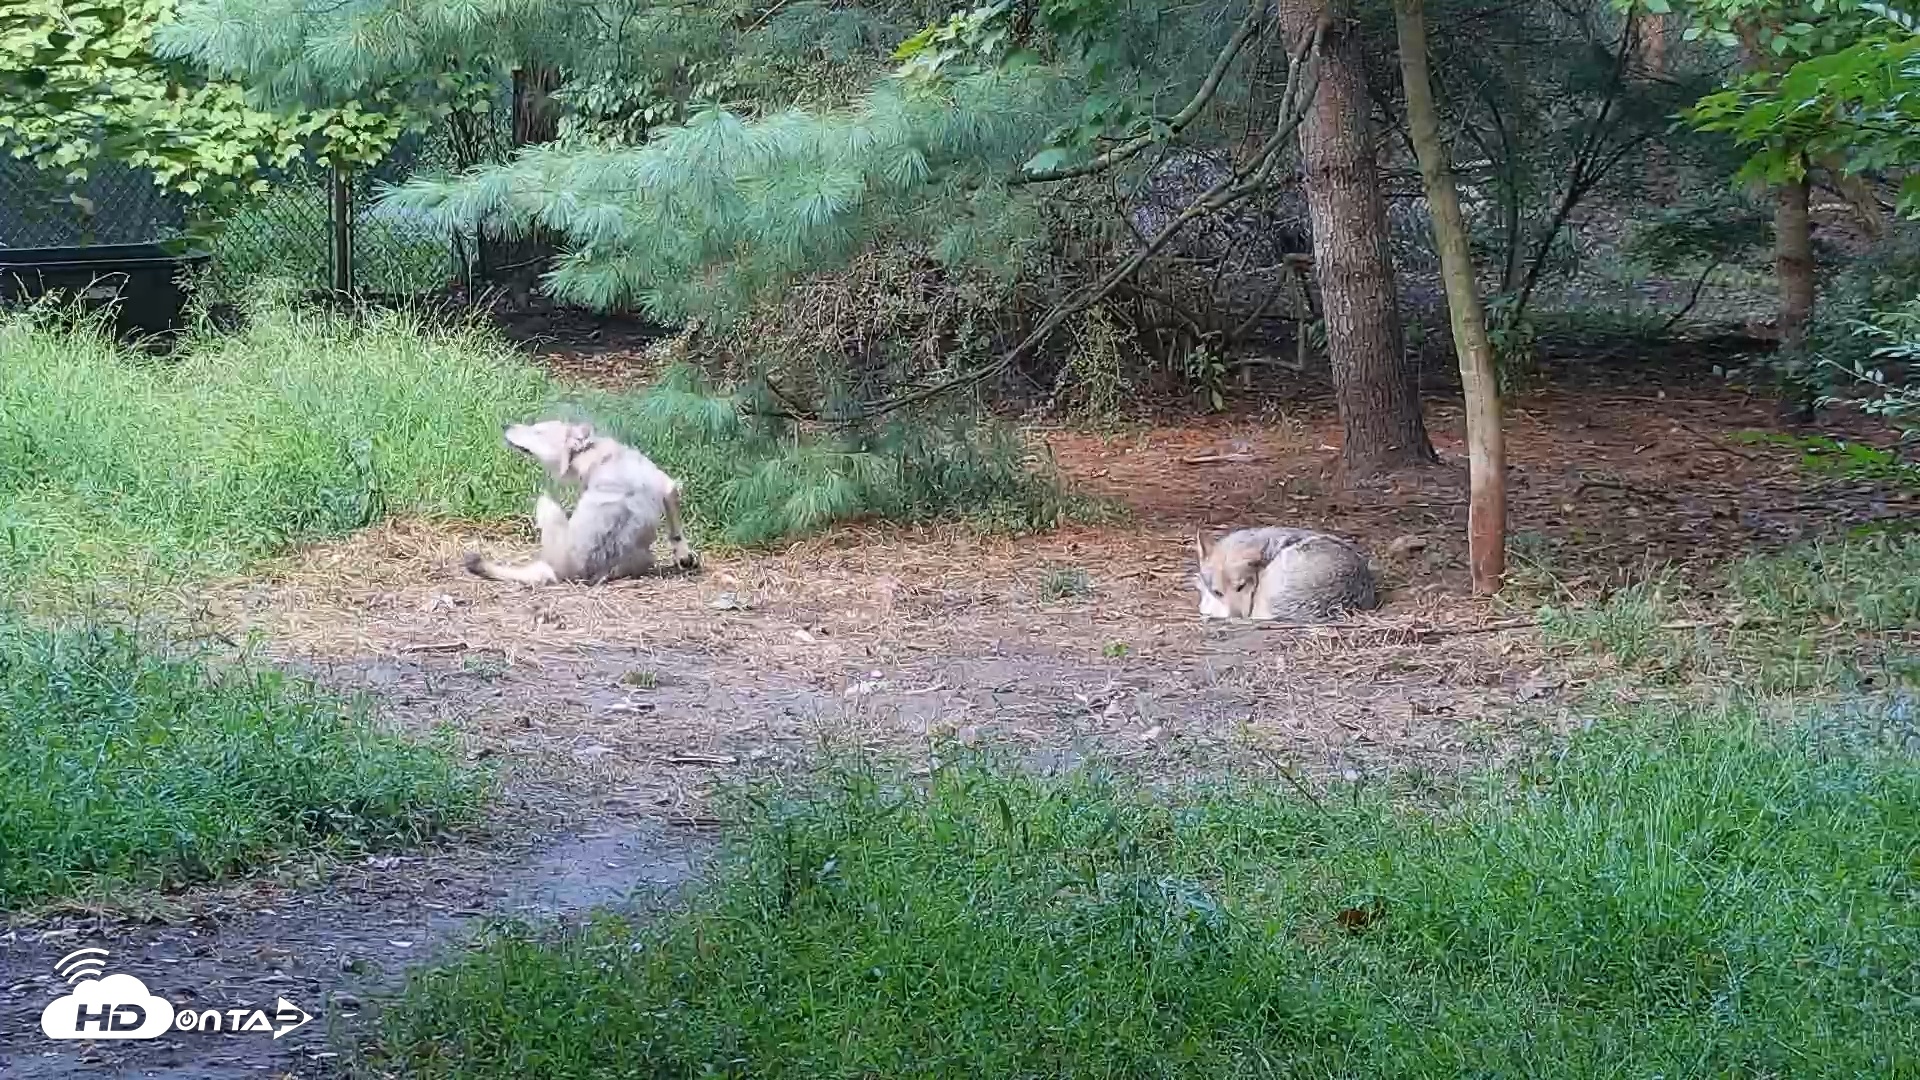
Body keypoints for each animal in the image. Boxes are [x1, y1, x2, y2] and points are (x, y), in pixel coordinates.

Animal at [464, 419, 700, 586]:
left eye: (537, 431)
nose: (505, 425)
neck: (593, 454)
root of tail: (570, 571)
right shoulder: (667, 486)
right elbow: (676, 532)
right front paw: (684, 557)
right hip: (643, 558)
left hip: (545, 505)